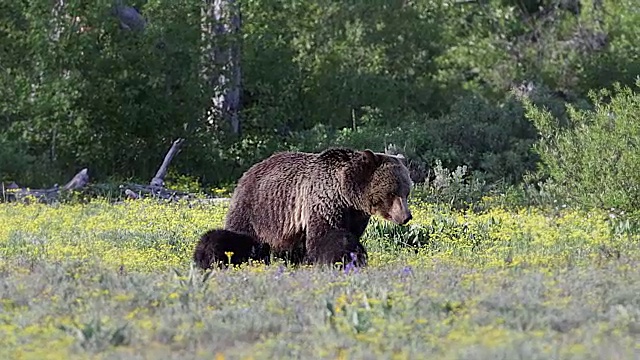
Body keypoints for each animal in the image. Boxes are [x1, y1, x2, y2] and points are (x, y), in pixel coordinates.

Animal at [195, 148, 412, 268]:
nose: (406, 217)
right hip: (256, 212)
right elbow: (330, 236)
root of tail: (248, 173)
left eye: (407, 192)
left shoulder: (355, 215)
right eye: (392, 193)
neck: (345, 194)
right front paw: (348, 260)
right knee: (229, 238)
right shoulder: (322, 201)